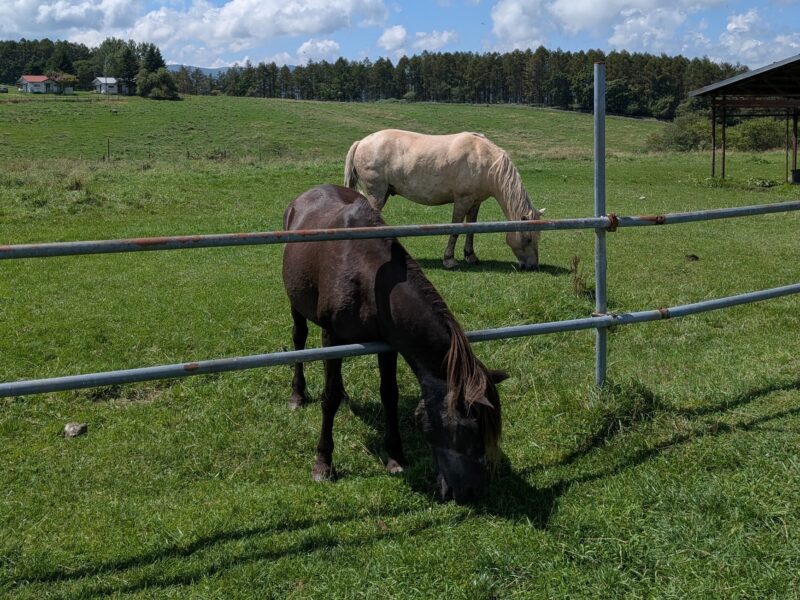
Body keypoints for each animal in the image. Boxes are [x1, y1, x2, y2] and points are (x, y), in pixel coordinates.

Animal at [282, 184, 508, 504]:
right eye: (467, 428)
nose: (471, 492)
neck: (368, 276)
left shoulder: (386, 345)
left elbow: (389, 394)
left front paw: (396, 457)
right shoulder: (331, 337)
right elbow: (329, 399)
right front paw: (323, 464)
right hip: (297, 305)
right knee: (299, 339)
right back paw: (297, 395)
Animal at [344, 129, 545, 270]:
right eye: (527, 239)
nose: (533, 266)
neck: (484, 160)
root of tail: (361, 142)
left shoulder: (475, 203)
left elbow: (472, 229)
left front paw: (470, 256)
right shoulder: (462, 201)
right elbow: (455, 230)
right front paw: (449, 260)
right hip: (376, 195)